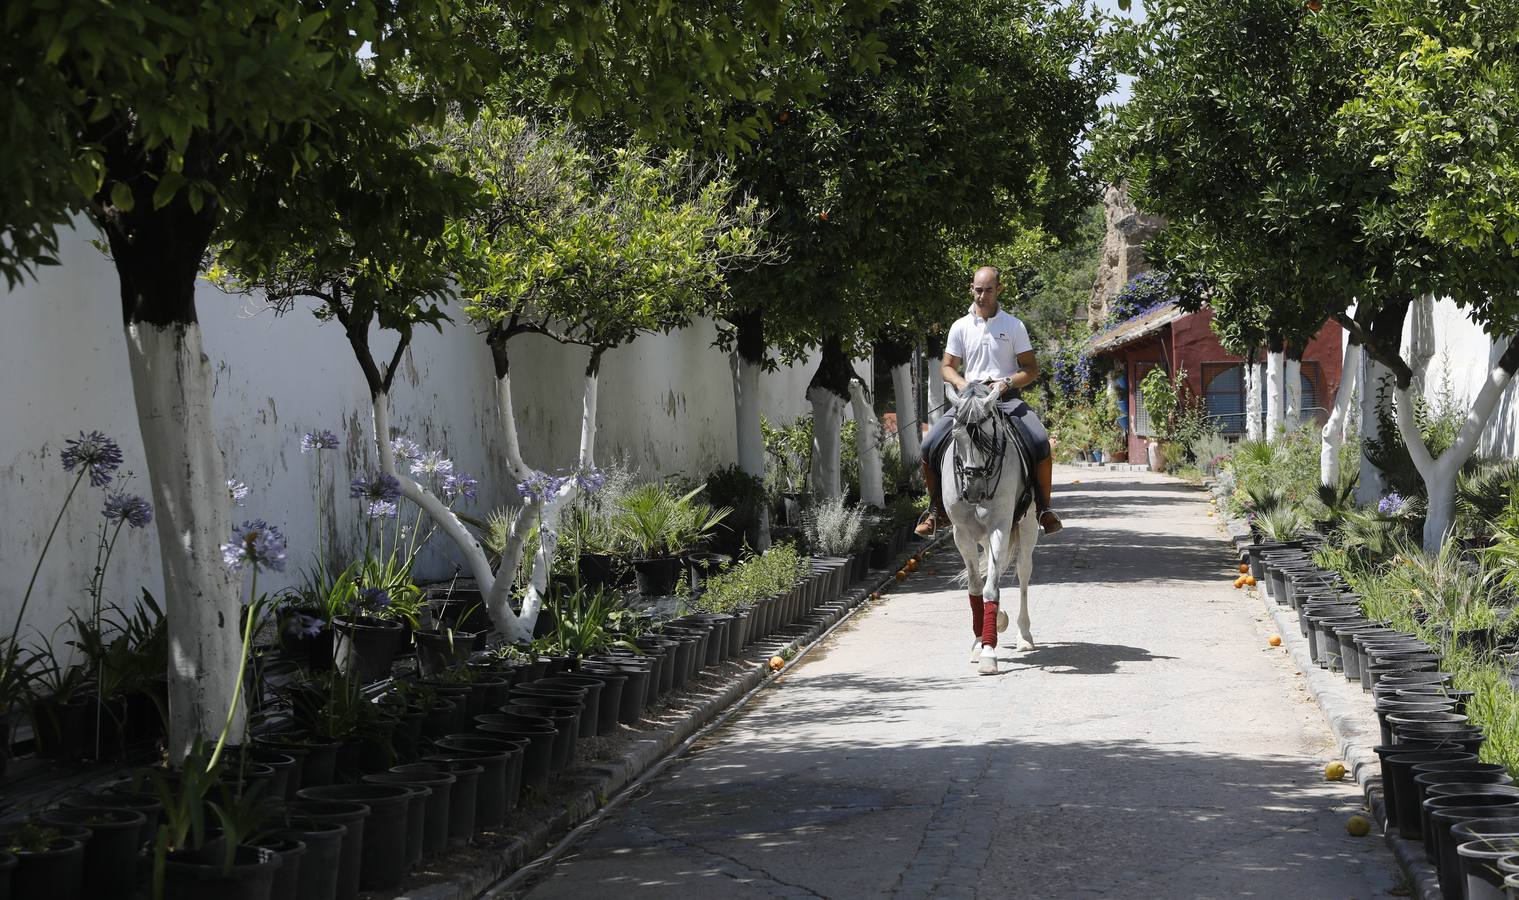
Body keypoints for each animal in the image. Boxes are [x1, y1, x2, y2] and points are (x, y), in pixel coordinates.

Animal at [941, 381, 1038, 675]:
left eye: (988, 437)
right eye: (956, 436)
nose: (973, 490)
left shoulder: (1000, 527)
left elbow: (991, 588)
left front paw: (988, 652)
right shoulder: (961, 534)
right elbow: (976, 587)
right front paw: (978, 642)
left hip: (1028, 526)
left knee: (1023, 572)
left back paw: (1024, 636)